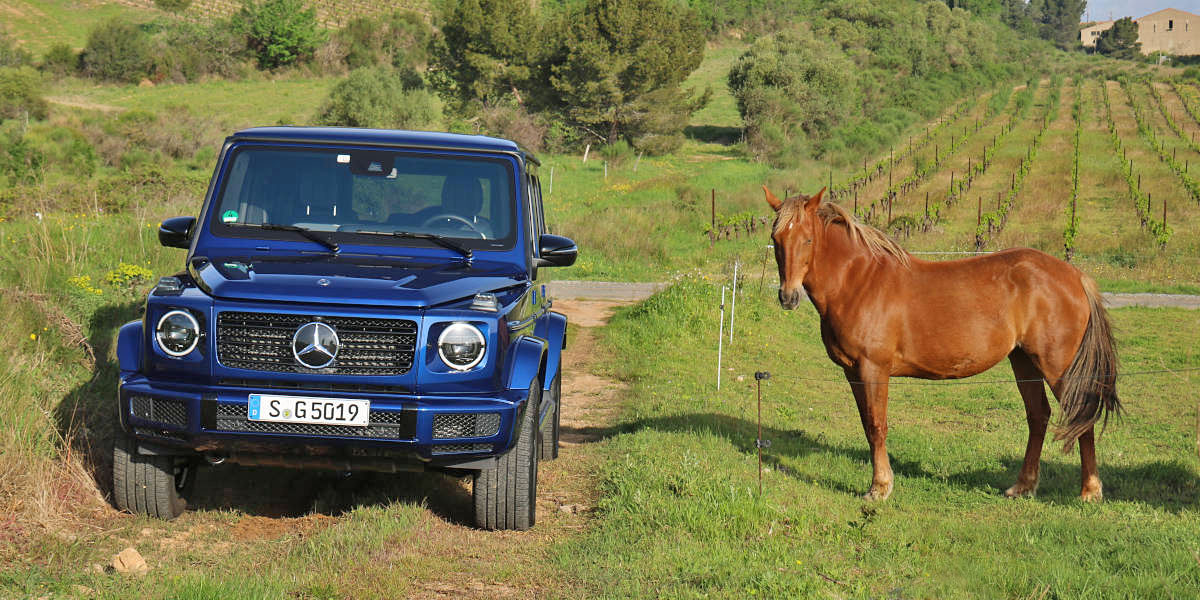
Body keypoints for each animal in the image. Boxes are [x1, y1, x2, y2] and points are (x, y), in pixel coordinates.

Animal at [763, 187, 1118, 501]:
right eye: (776, 240)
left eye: (808, 239)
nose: (787, 297)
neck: (859, 281)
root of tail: (1075, 276)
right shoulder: (853, 372)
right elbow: (867, 424)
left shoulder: (873, 369)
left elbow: (878, 425)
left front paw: (880, 488)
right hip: (1024, 361)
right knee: (1038, 416)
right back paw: (1023, 487)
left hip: (1057, 366)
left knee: (1080, 414)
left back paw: (1090, 491)